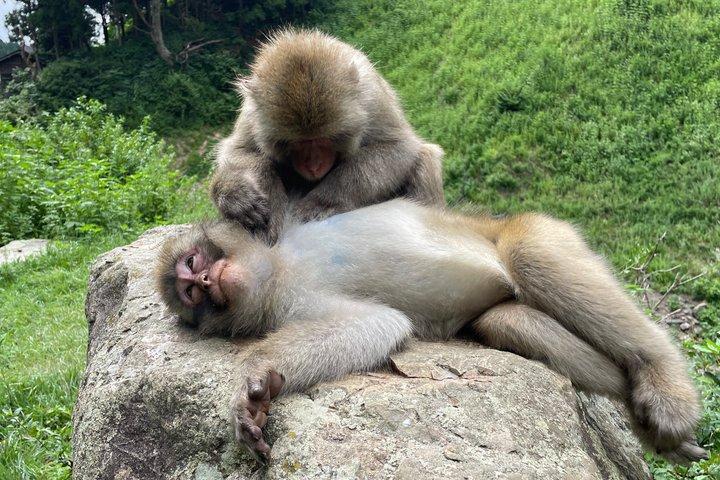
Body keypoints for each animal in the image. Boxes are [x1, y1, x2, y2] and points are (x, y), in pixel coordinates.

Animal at [155, 200, 707, 464]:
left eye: (193, 264)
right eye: (190, 295)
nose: (206, 282)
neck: (279, 269)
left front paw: (250, 378)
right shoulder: (292, 302)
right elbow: (377, 323)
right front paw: (258, 388)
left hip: (540, 229)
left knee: (530, 255)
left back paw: (664, 383)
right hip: (505, 302)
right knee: (506, 320)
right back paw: (651, 427)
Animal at [211, 29, 445, 243]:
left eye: (323, 139)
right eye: (297, 143)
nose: (313, 166)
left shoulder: (371, 97)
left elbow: (398, 148)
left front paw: (323, 201)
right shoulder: (252, 112)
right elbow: (238, 151)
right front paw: (246, 197)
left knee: (424, 157)